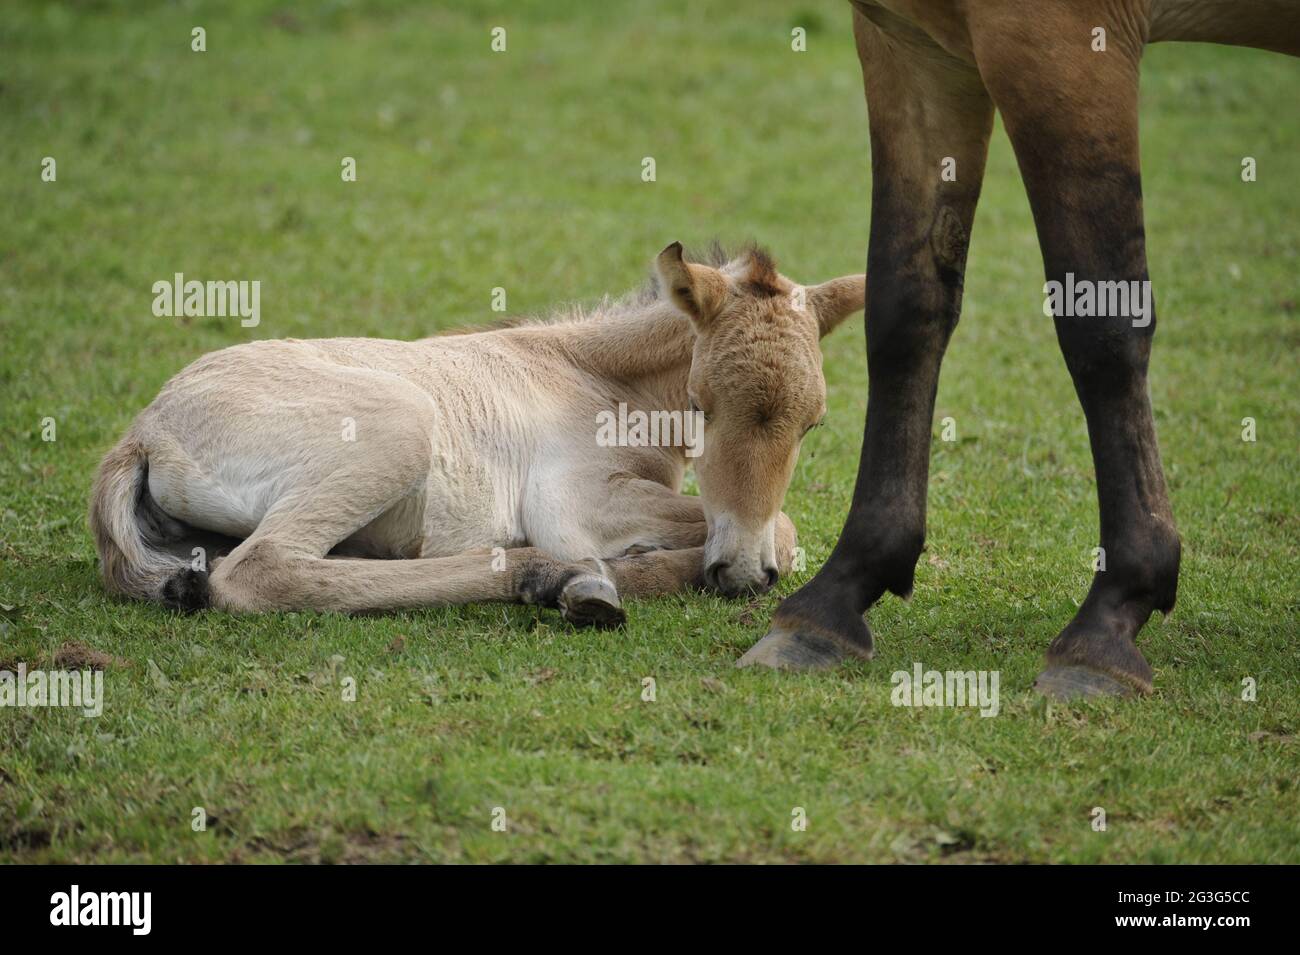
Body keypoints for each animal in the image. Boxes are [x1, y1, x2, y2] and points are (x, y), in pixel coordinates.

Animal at [90, 243, 866, 627]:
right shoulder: (573, 499)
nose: (742, 574)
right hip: (399, 425)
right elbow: (783, 528)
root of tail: (144, 430)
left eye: (814, 424)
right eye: (701, 406)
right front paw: (622, 571)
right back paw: (553, 577)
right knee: (263, 569)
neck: (590, 374)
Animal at [739, 0, 1299, 696]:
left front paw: (1112, 615)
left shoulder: (1063, 44)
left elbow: (1101, 322)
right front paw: (838, 594)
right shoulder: (912, 45)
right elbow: (906, 307)